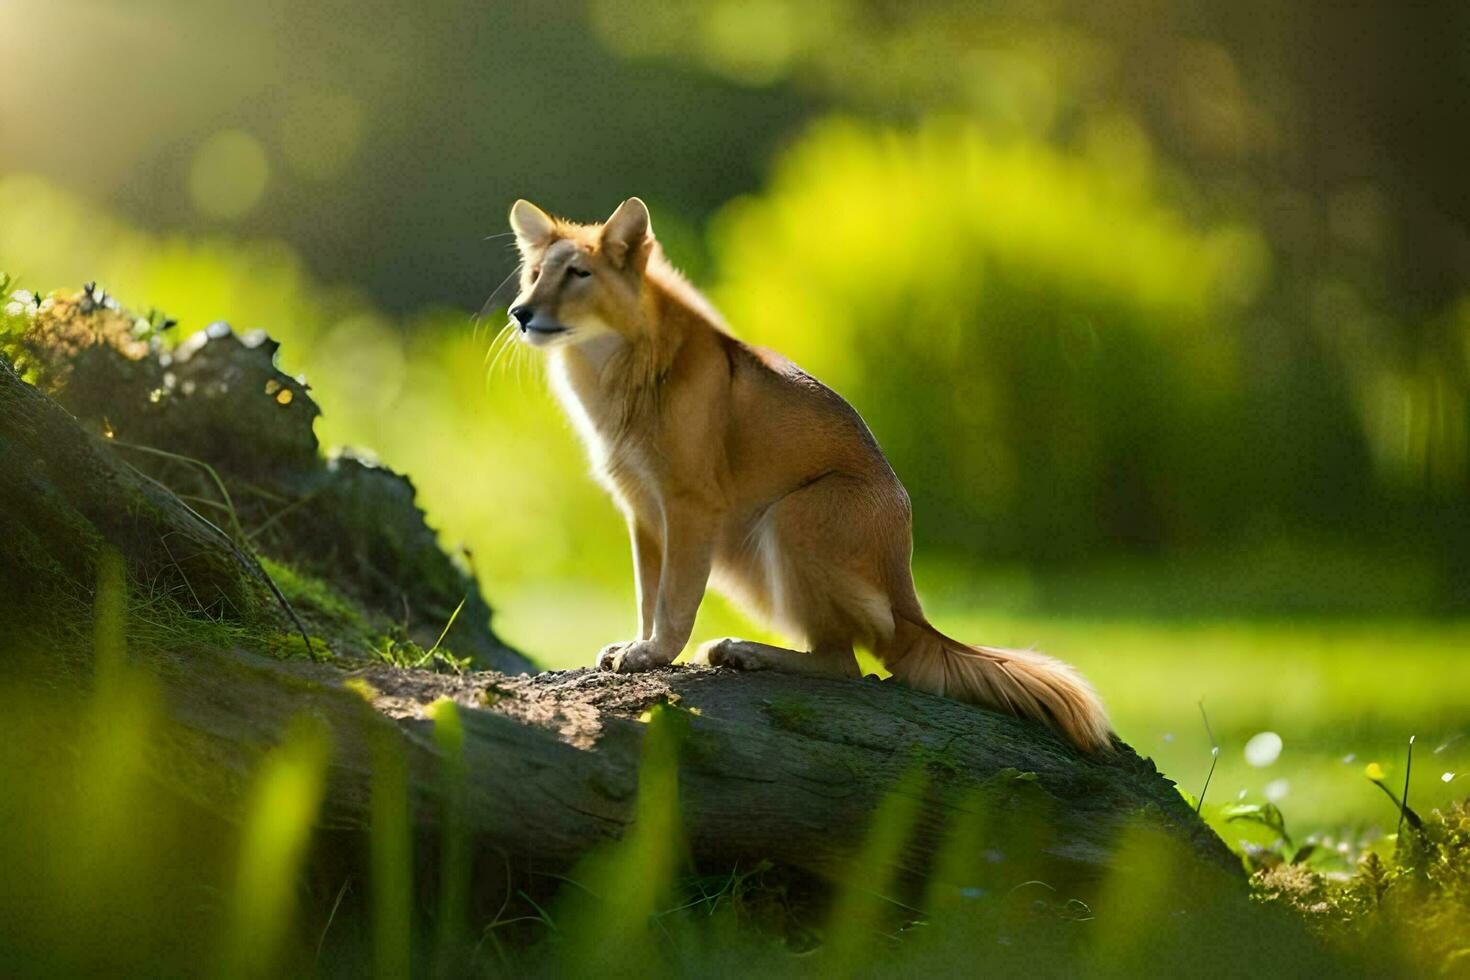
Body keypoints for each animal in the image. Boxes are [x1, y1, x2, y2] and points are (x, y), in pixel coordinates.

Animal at [511, 196, 1105, 752]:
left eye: (579, 274)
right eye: (535, 273)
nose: (519, 313)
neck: (627, 368)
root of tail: (911, 606)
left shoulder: (689, 505)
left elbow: (674, 599)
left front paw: (652, 654)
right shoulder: (642, 510)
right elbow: (645, 592)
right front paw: (635, 645)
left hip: (793, 514)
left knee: (847, 663)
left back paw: (743, 650)